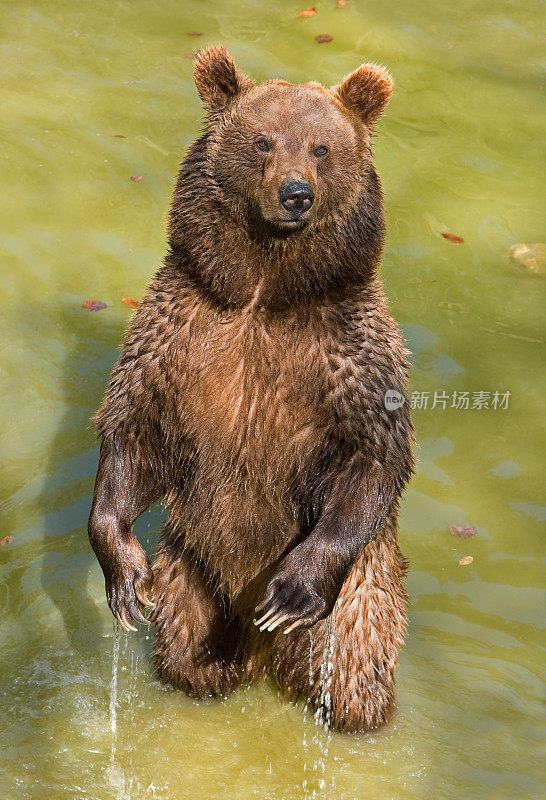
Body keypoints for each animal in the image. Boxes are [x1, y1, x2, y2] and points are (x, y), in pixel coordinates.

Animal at [88, 42, 412, 732]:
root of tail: (267, 662)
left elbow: (374, 452)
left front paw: (291, 592)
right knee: (188, 651)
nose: (296, 195)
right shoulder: (179, 328)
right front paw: (124, 576)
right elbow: (134, 431)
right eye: (263, 141)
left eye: (322, 147)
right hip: (193, 577)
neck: (264, 292)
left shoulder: (347, 350)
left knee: (355, 676)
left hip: (360, 602)